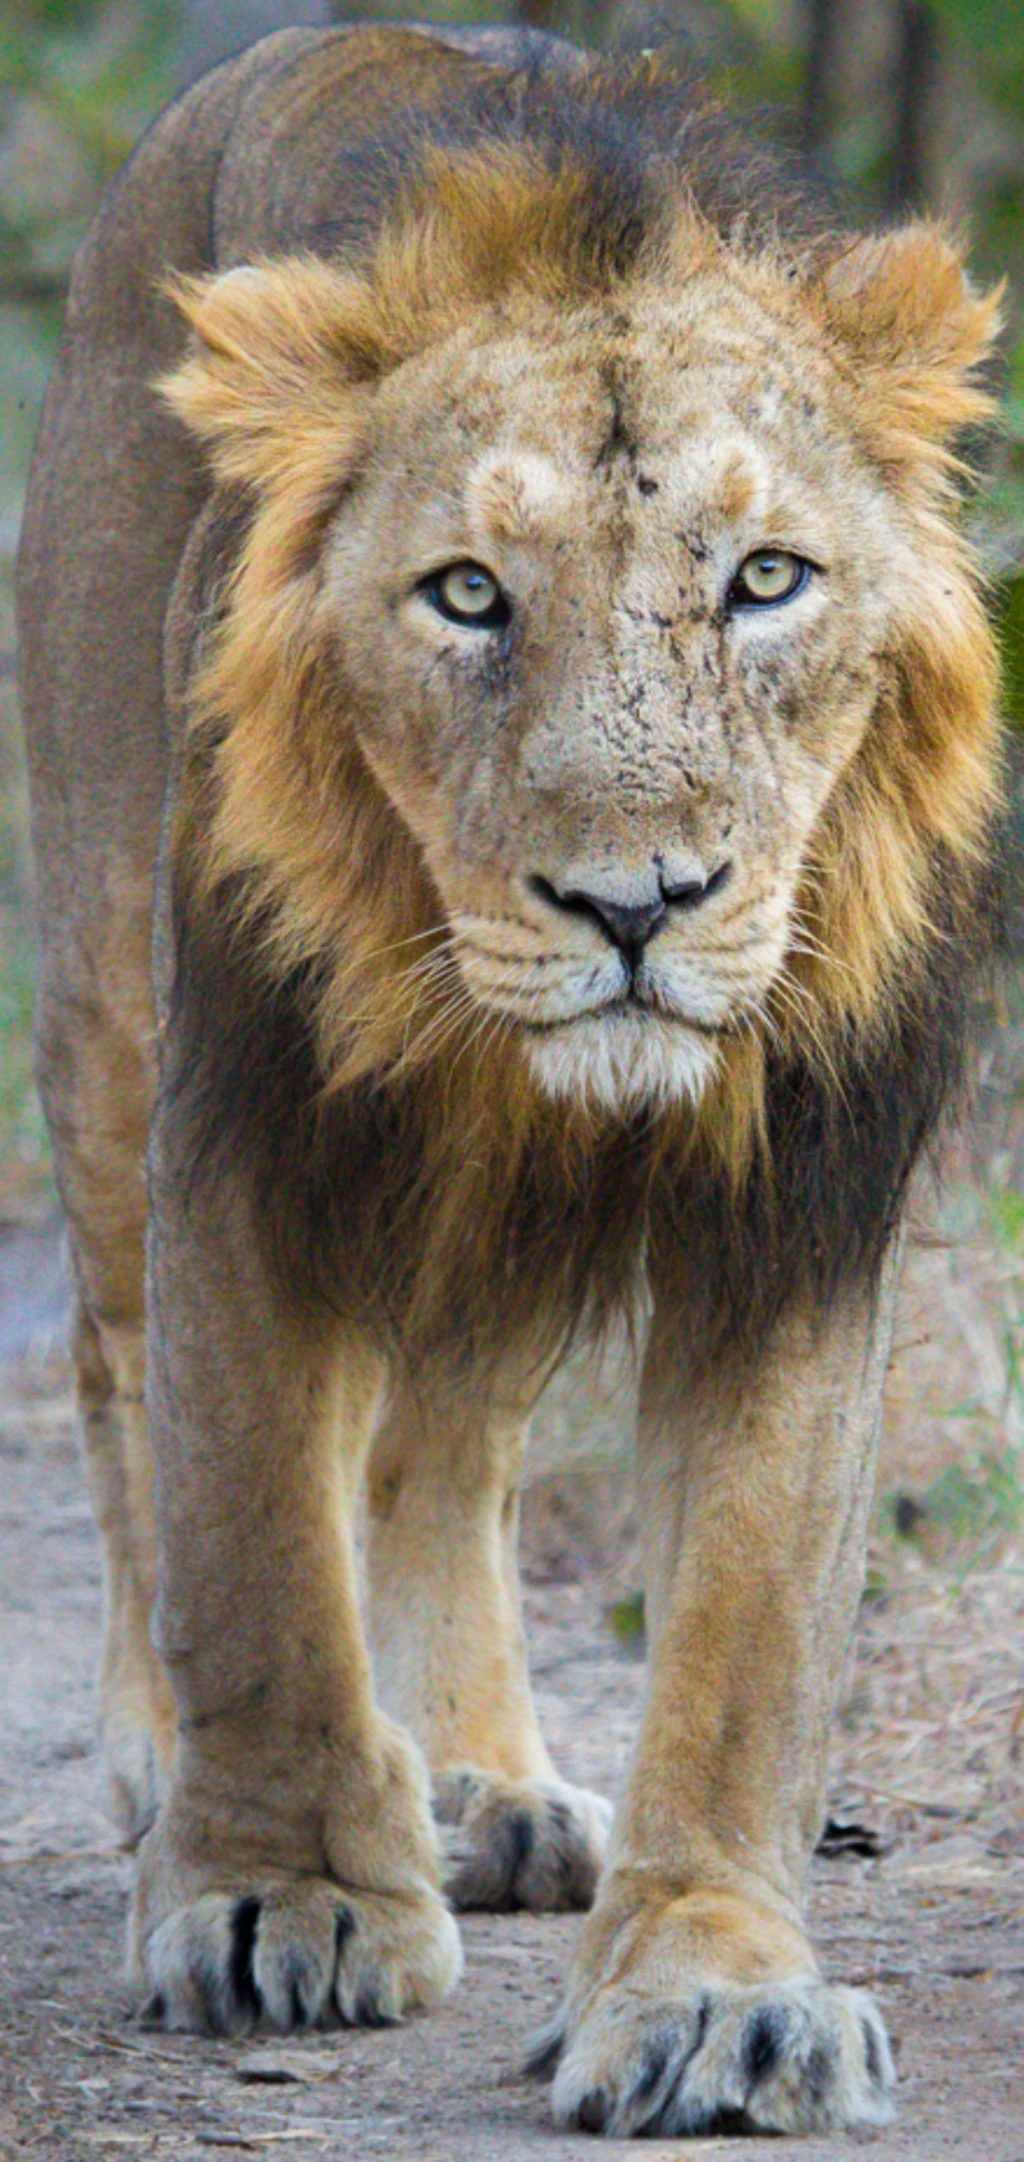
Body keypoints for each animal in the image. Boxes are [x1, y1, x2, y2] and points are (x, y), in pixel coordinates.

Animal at [16, 18, 1002, 2140]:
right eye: (466, 593)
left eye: (764, 579)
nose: (634, 902)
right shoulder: (249, 1126)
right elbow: (252, 1536)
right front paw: (277, 1892)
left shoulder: (793, 1208)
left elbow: (742, 1641)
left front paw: (716, 1993)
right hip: (102, 1003)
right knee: (121, 1378)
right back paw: (161, 1752)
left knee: (444, 1441)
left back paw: (475, 1782)